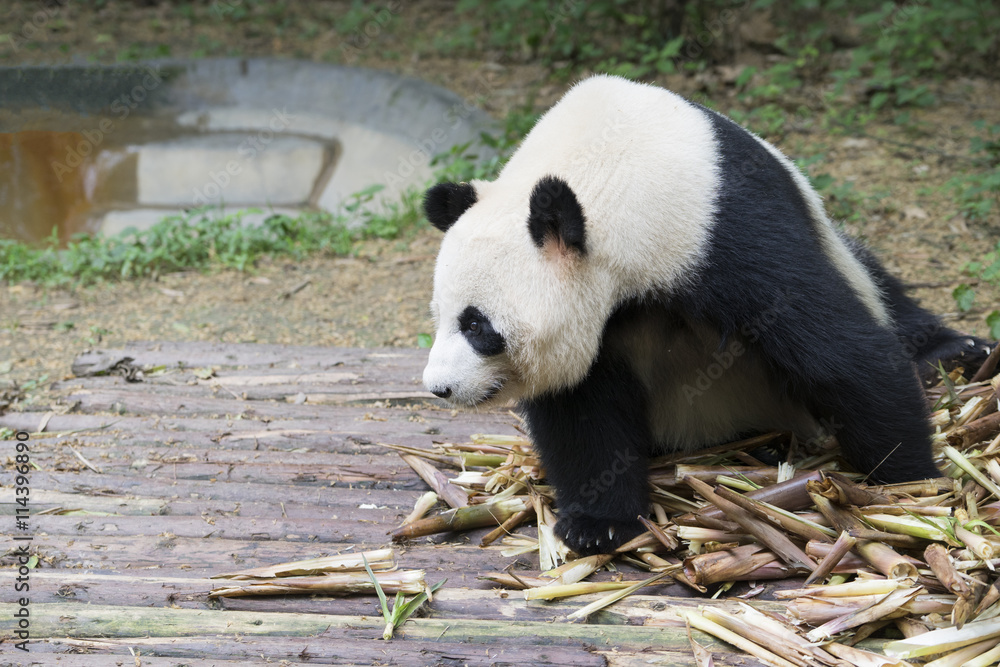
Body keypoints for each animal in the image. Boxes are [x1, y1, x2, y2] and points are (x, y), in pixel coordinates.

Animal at [421, 75, 991, 556]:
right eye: (440, 316)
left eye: (477, 326)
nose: (440, 388)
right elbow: (581, 408)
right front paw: (598, 524)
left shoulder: (724, 228)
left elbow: (837, 350)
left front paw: (910, 480)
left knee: (876, 282)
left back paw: (955, 351)